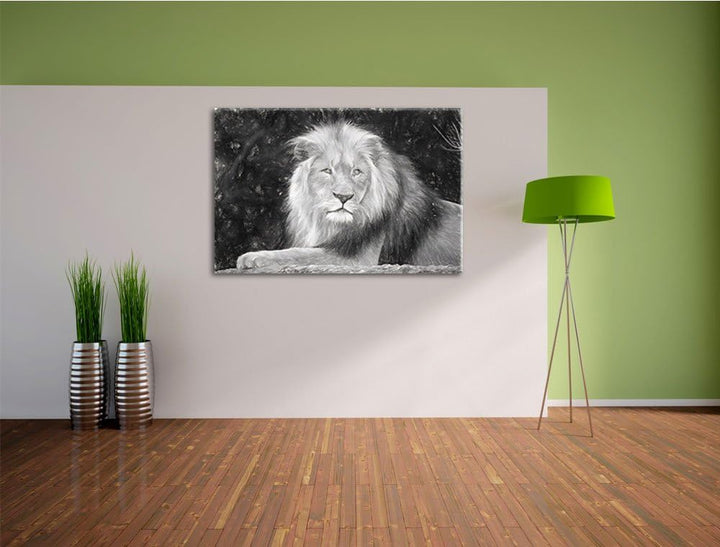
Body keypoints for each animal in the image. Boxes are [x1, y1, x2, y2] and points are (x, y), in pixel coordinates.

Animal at [236, 122, 462, 271]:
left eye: (357, 172)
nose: (343, 197)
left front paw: (251, 257)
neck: (331, 224)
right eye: (327, 171)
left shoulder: (358, 259)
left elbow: (299, 253)